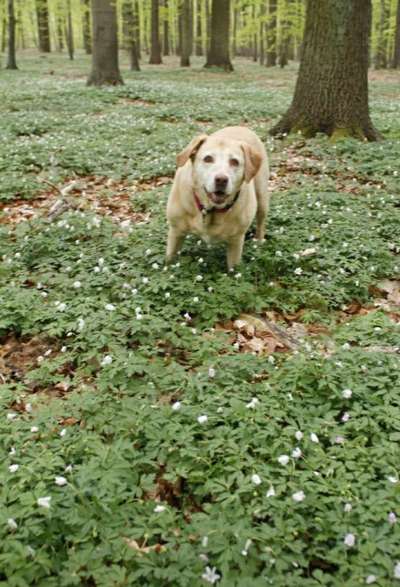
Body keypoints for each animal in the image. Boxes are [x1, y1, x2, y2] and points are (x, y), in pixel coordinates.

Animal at [166, 127, 268, 270]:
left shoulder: (236, 241)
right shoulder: (175, 231)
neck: (211, 210)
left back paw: (259, 240)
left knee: (261, 220)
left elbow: (234, 269)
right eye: (208, 159)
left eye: (235, 162)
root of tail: (242, 127)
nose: (221, 179)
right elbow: (169, 260)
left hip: (262, 196)